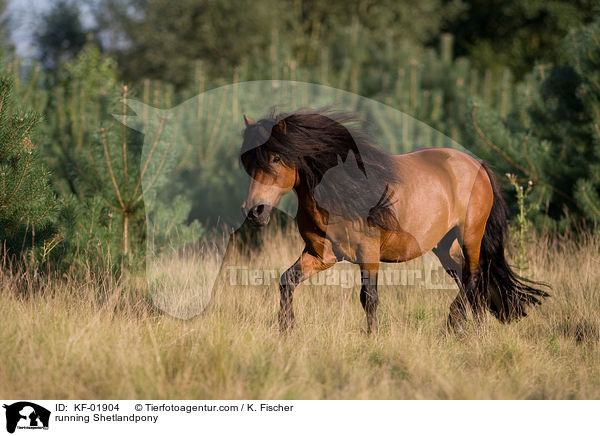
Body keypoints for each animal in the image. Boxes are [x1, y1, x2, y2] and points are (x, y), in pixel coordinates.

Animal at [240, 110, 548, 332]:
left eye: (276, 158)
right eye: (248, 163)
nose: (254, 211)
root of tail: (477, 166)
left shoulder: (368, 253)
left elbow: (369, 298)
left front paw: (372, 338)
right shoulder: (321, 255)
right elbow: (287, 281)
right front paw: (287, 329)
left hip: (471, 234)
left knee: (473, 277)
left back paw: (453, 325)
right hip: (444, 246)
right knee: (471, 280)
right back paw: (475, 329)